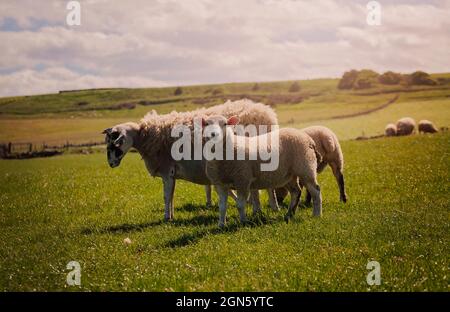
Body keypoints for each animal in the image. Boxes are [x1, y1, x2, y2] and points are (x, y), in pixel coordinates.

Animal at [103, 98, 278, 221]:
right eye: (107, 143)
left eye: (115, 143)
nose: (111, 164)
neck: (145, 136)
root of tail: (267, 114)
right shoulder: (172, 174)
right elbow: (172, 196)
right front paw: (172, 215)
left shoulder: (166, 170)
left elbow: (166, 196)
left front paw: (166, 217)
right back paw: (264, 207)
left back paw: (266, 208)